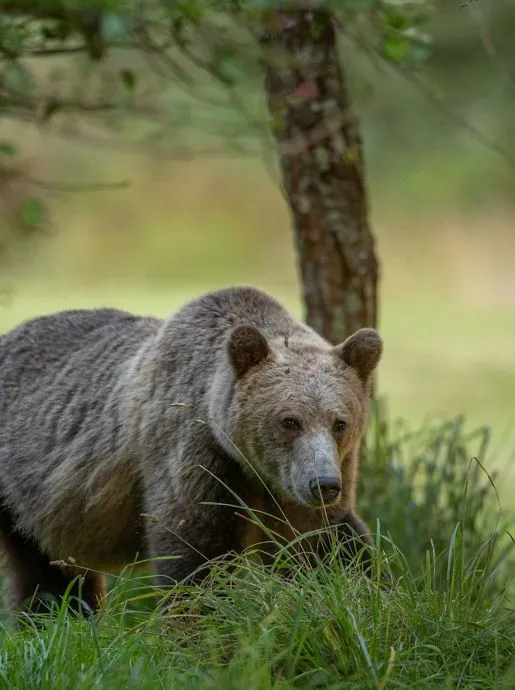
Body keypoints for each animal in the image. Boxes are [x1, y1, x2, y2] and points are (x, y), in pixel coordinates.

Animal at [0, 286, 382, 615]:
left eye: (339, 423)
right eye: (290, 421)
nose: (323, 484)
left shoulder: (308, 483)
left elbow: (323, 545)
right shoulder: (196, 452)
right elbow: (195, 553)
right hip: (20, 488)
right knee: (43, 574)